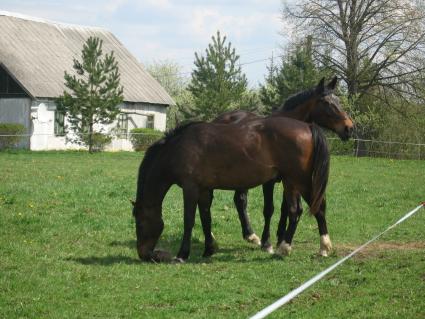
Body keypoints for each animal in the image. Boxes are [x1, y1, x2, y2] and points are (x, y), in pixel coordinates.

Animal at [132, 115, 332, 262]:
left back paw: (309, 247)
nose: (143, 254)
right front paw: (209, 249)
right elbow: (206, 218)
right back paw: (302, 248)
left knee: (312, 209)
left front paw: (182, 255)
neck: (179, 148)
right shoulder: (203, 190)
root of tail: (308, 126)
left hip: (300, 181)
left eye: (139, 222)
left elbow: (189, 220)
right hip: (291, 183)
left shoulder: (190, 188)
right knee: (301, 211)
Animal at [210, 77, 352, 255]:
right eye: (326, 102)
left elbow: (286, 208)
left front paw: (280, 238)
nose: (349, 128)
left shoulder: (289, 180)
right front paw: (268, 242)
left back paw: (250, 235)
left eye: (338, 100)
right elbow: (269, 209)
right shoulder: (269, 182)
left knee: (240, 200)